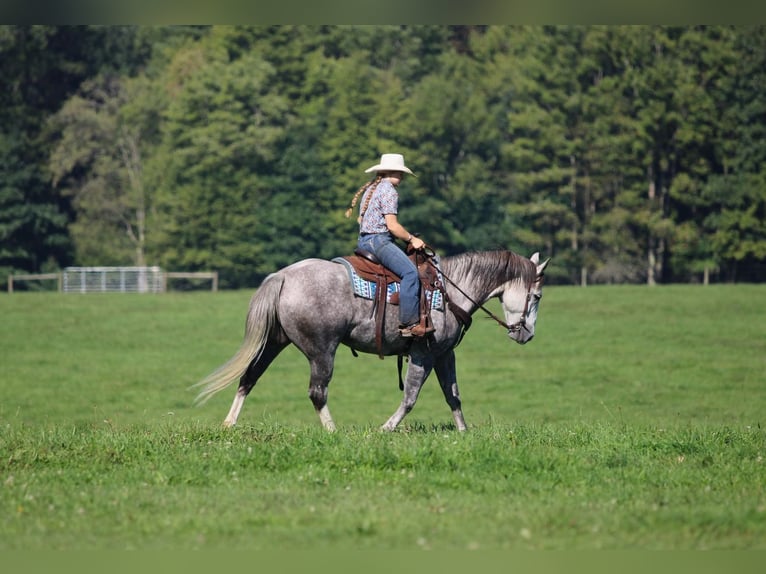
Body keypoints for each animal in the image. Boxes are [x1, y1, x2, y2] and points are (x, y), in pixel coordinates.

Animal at [194, 249, 549, 431]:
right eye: (537, 296)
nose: (527, 334)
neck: (449, 291)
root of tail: (283, 276)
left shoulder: (444, 354)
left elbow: (453, 395)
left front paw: (464, 433)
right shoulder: (423, 353)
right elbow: (411, 396)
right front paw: (386, 429)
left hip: (275, 342)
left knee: (249, 377)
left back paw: (228, 424)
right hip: (322, 351)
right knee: (317, 391)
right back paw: (333, 432)